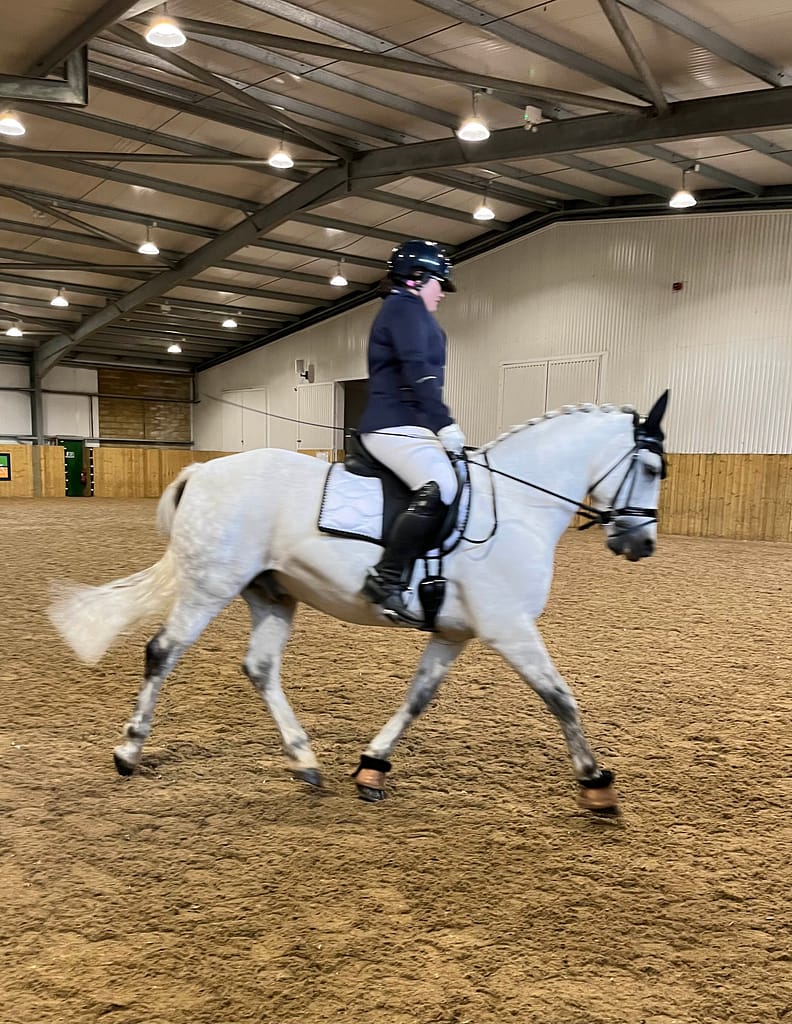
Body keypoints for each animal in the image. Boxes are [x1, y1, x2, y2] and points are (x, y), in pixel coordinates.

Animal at [48, 392, 669, 813]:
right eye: (651, 468)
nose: (641, 544)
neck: (516, 505)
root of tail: (203, 469)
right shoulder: (509, 626)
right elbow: (560, 698)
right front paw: (596, 784)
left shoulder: (454, 632)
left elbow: (418, 698)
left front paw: (372, 767)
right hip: (210, 586)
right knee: (162, 651)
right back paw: (129, 752)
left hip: (272, 594)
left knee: (259, 668)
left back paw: (304, 760)